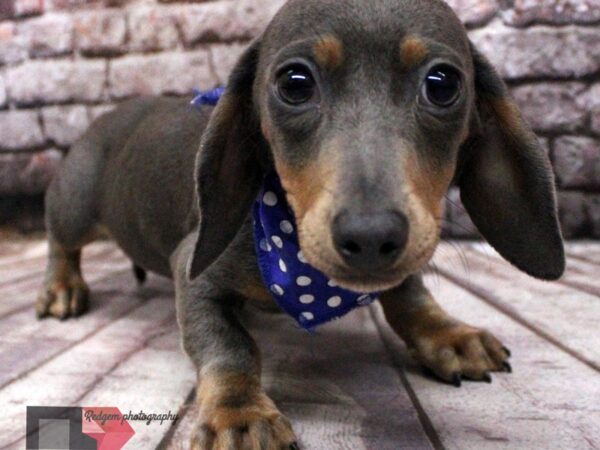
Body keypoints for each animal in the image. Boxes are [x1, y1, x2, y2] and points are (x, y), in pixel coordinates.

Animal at [37, 1, 564, 448]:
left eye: (442, 83)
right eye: (295, 82)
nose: (371, 237)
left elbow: (412, 298)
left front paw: (450, 334)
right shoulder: (196, 271)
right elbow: (230, 348)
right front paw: (239, 412)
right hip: (76, 209)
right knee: (59, 238)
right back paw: (62, 287)